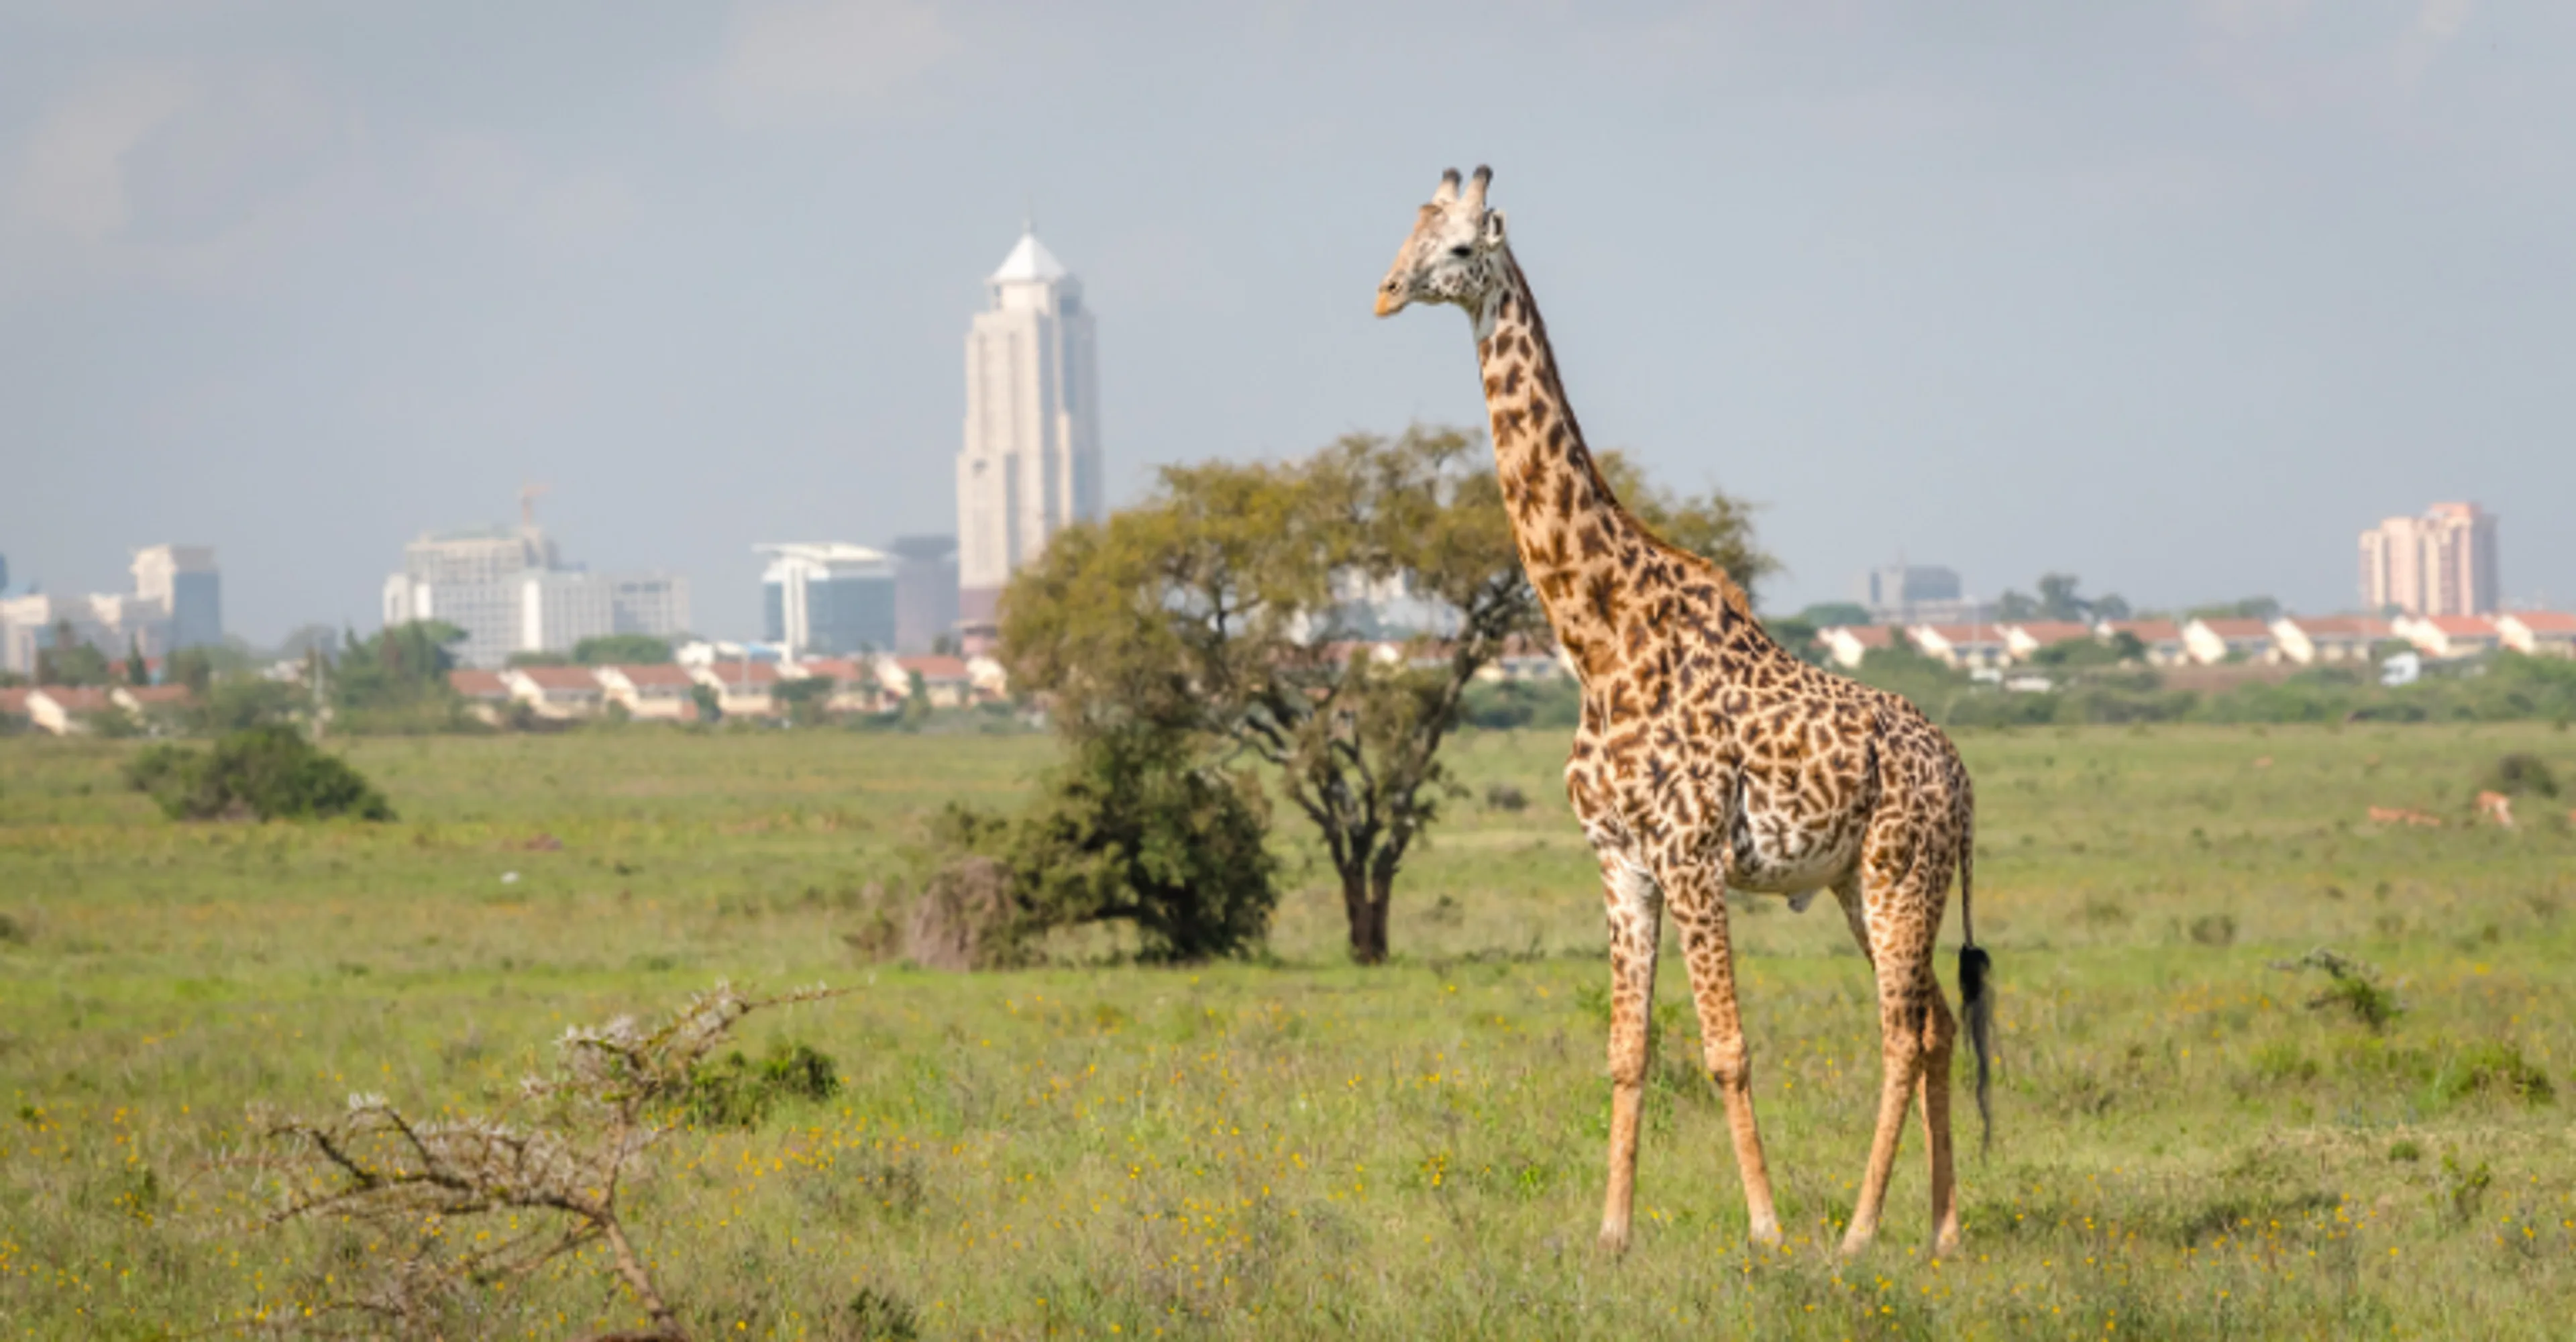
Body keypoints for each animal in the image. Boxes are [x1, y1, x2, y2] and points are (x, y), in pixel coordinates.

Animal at [1375, 166, 1996, 1258]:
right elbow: (1628, 1049)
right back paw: (1943, 1231)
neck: (1599, 639)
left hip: (1900, 870)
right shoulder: (1620, 859)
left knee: (1898, 1031)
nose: (1386, 291)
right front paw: (1612, 1234)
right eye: (1408, 232)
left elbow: (1726, 1047)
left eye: (1457, 247)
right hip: (1859, 882)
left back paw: (1858, 1234)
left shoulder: (1693, 854)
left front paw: (1766, 1229)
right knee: (1935, 1026)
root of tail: (1961, 779)